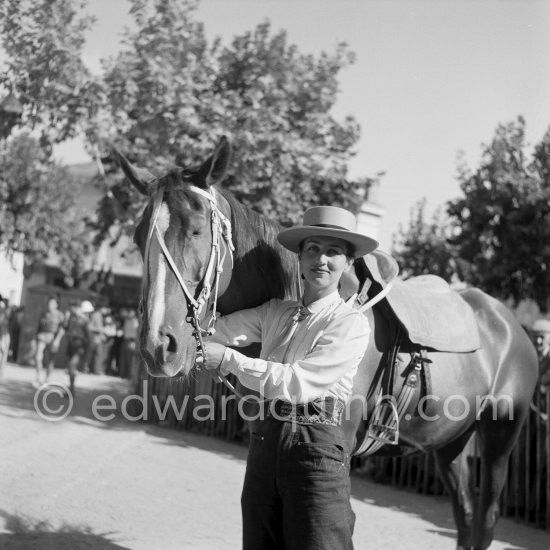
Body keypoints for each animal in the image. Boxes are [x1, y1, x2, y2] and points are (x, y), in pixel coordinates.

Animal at [114, 137, 540, 550]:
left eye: (197, 229)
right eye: (138, 236)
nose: (158, 345)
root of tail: (512, 327)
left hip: (500, 437)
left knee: (484, 520)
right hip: (452, 442)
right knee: (465, 517)